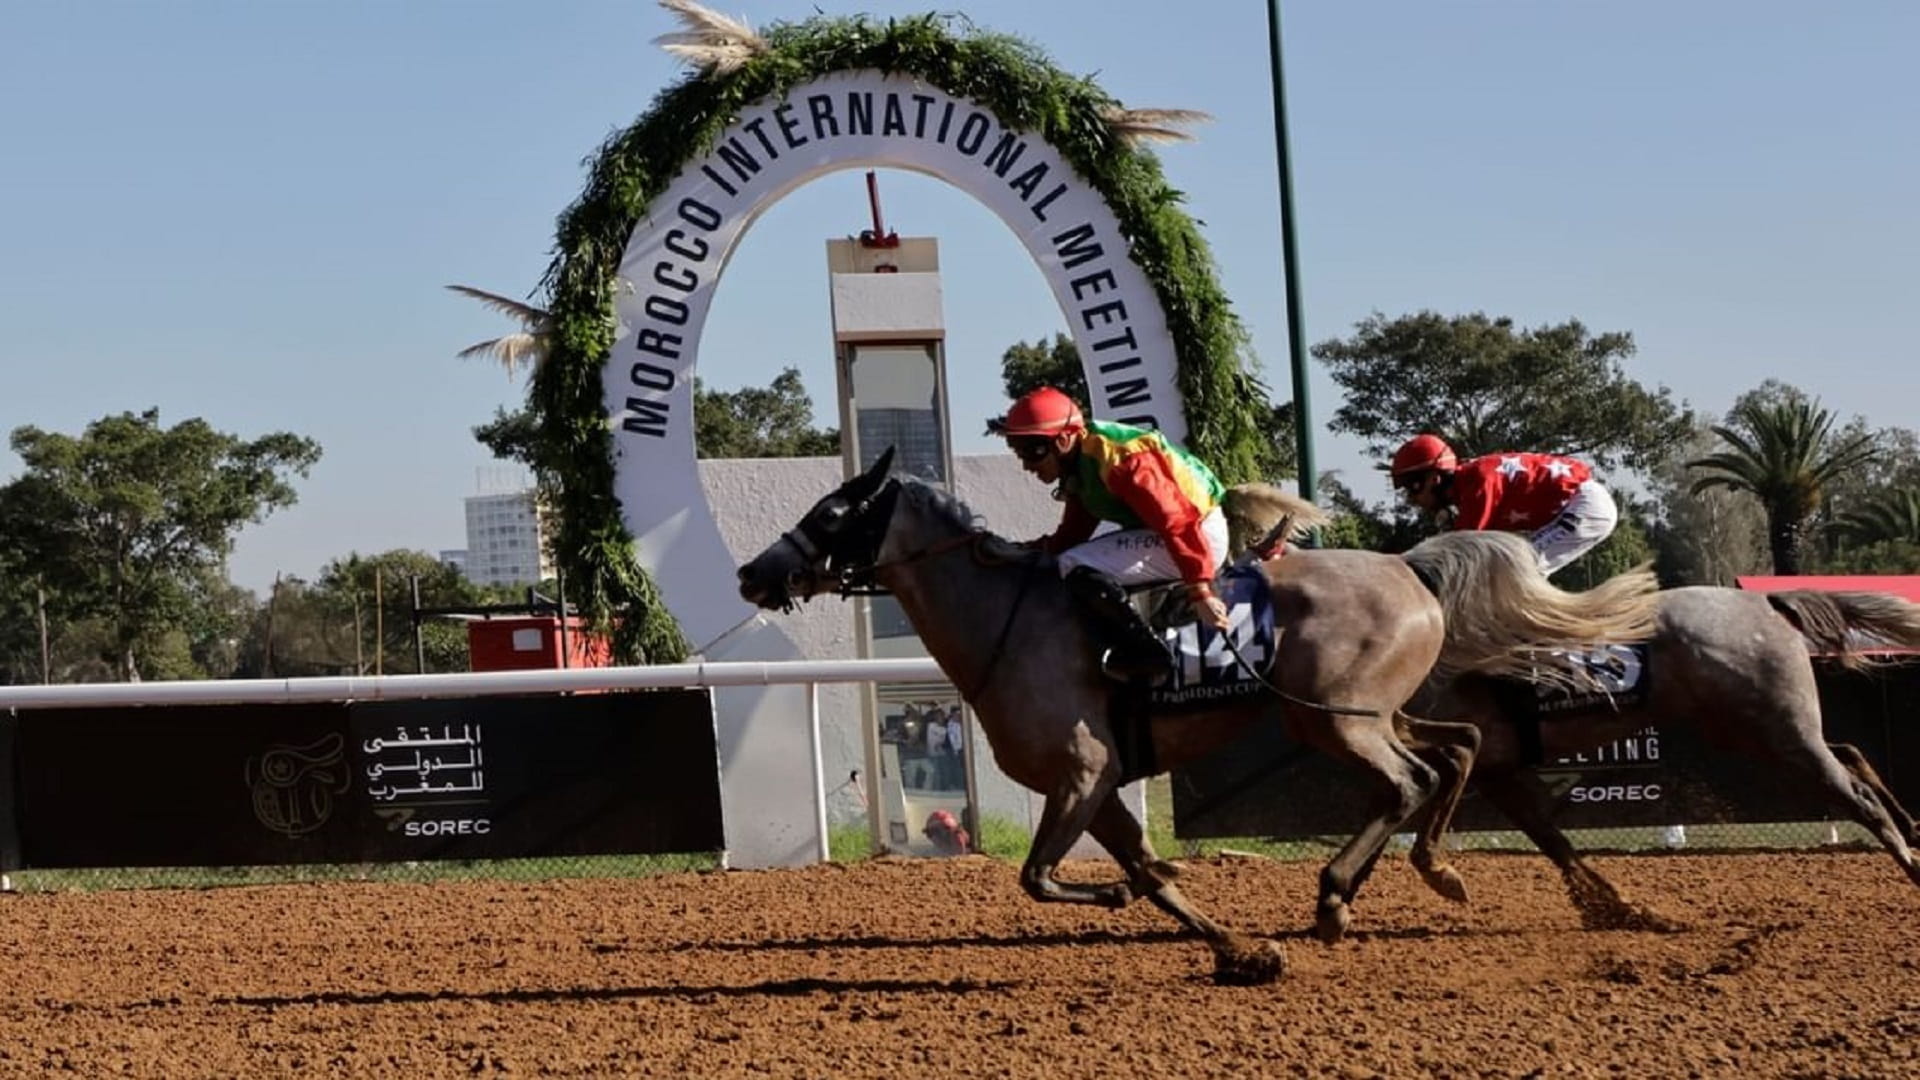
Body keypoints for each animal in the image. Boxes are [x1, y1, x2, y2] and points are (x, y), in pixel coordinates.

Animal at [735, 451, 1663, 982]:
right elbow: (1147, 874)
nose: (752, 573)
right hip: (1354, 711)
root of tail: (1411, 567)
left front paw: (1118, 897)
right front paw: (1239, 951)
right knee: (1457, 752)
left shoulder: (1082, 771)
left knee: (1409, 782)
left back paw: (1338, 897)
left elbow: (1042, 876)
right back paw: (1432, 872)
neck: (1006, 616)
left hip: (1338, 720)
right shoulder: (1097, 785)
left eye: (830, 513)